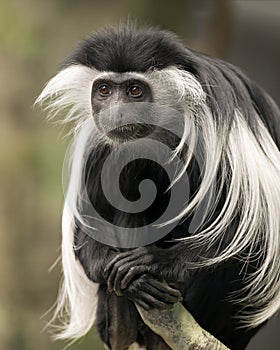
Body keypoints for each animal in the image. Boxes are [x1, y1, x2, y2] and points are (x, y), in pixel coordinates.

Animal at [36, 25, 280, 350]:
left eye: (134, 91)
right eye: (104, 90)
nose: (117, 112)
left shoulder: (216, 123)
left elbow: (251, 230)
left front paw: (156, 262)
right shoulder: (98, 143)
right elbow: (89, 226)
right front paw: (127, 275)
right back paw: (122, 319)